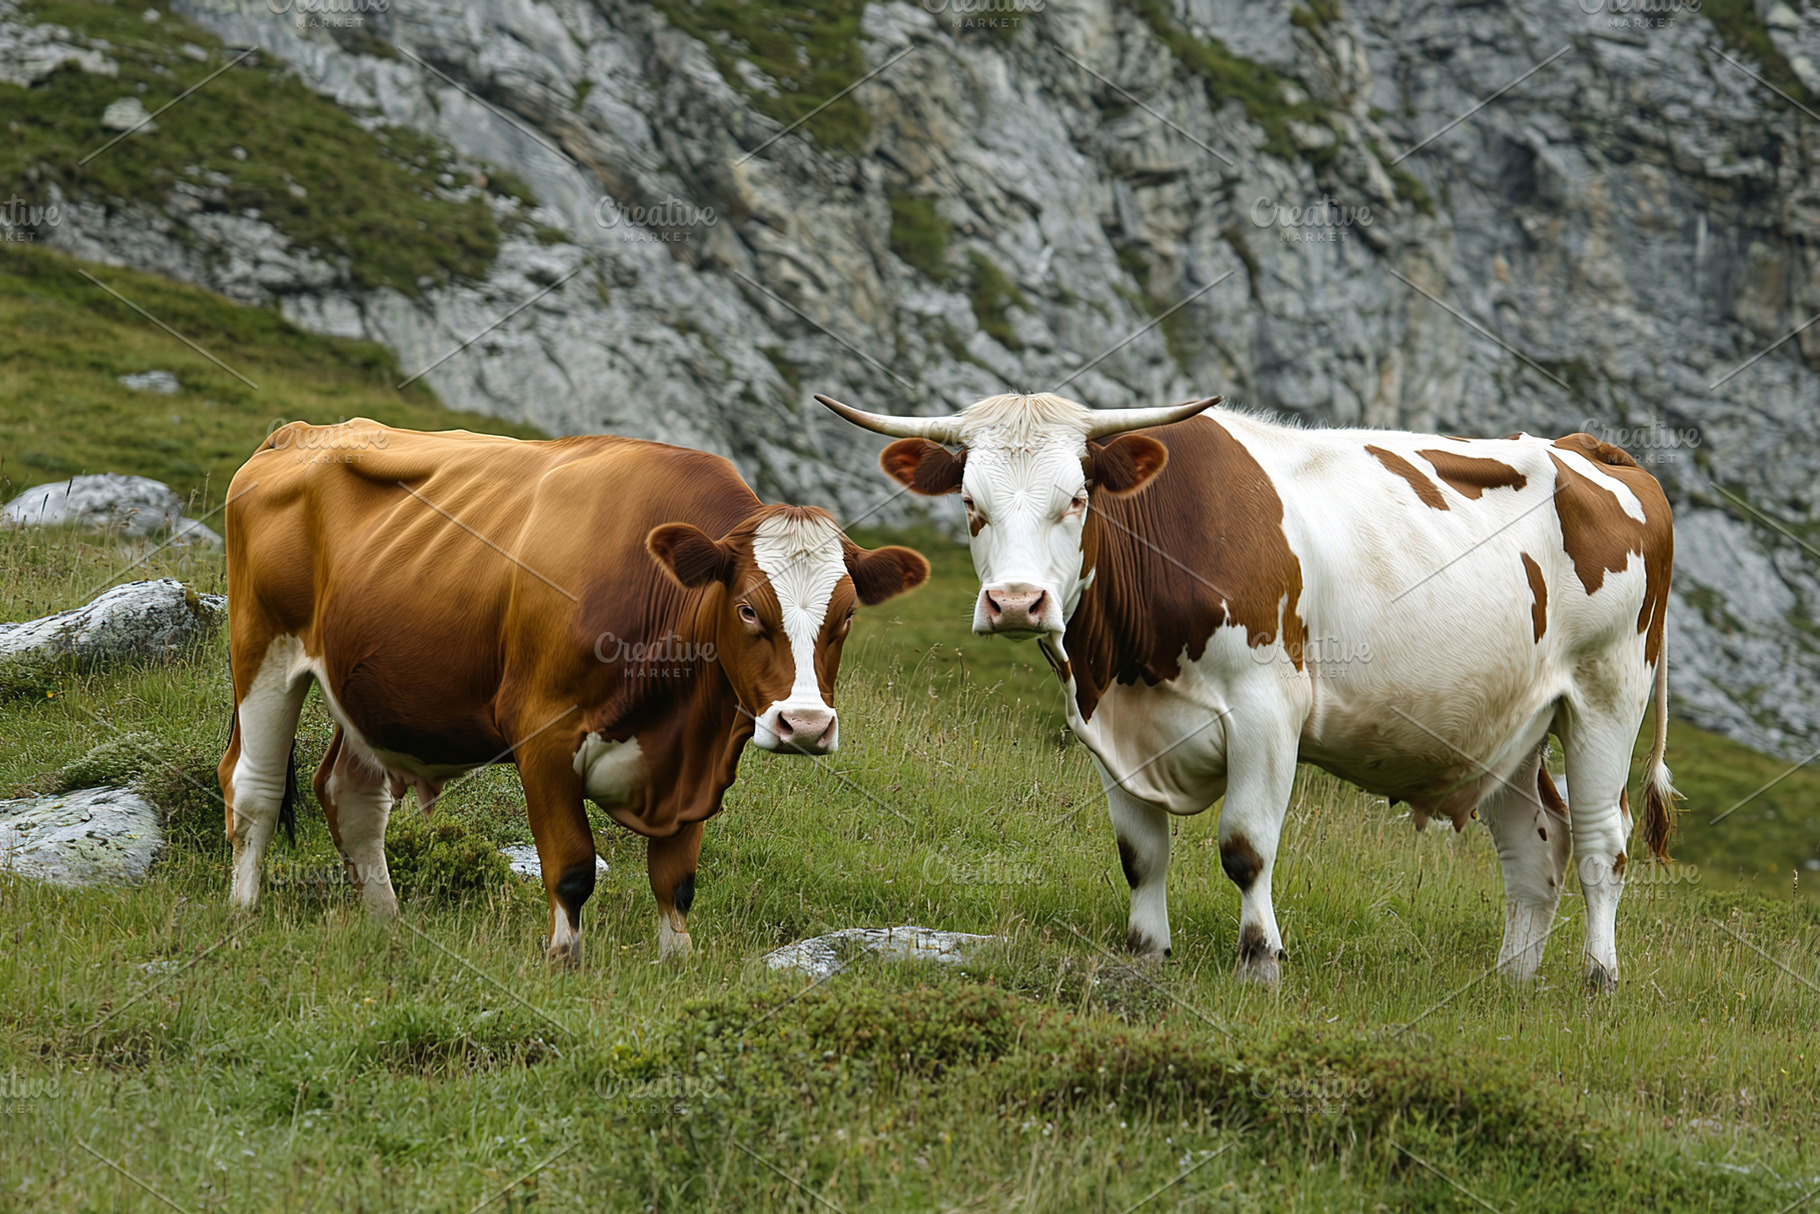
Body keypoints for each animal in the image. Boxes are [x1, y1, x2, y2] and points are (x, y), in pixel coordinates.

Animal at [217, 420, 928, 961]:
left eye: (847, 616)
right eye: (748, 609)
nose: (804, 724)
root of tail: (300, 433)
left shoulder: (693, 763)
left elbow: (676, 880)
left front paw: (678, 963)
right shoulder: (545, 735)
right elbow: (573, 867)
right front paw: (564, 961)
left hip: (366, 684)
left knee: (352, 796)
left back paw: (386, 925)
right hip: (262, 648)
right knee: (254, 787)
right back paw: (243, 917)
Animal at [819, 391, 1676, 992]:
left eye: (1076, 499)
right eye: (972, 505)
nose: (1017, 603)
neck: (1128, 663)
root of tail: (1587, 450)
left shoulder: (1268, 713)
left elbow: (1244, 847)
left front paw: (1260, 961)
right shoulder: (1107, 726)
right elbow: (1140, 856)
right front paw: (1146, 955)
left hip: (1607, 695)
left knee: (1601, 846)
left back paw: (1598, 979)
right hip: (1507, 726)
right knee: (1538, 850)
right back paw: (1510, 984)